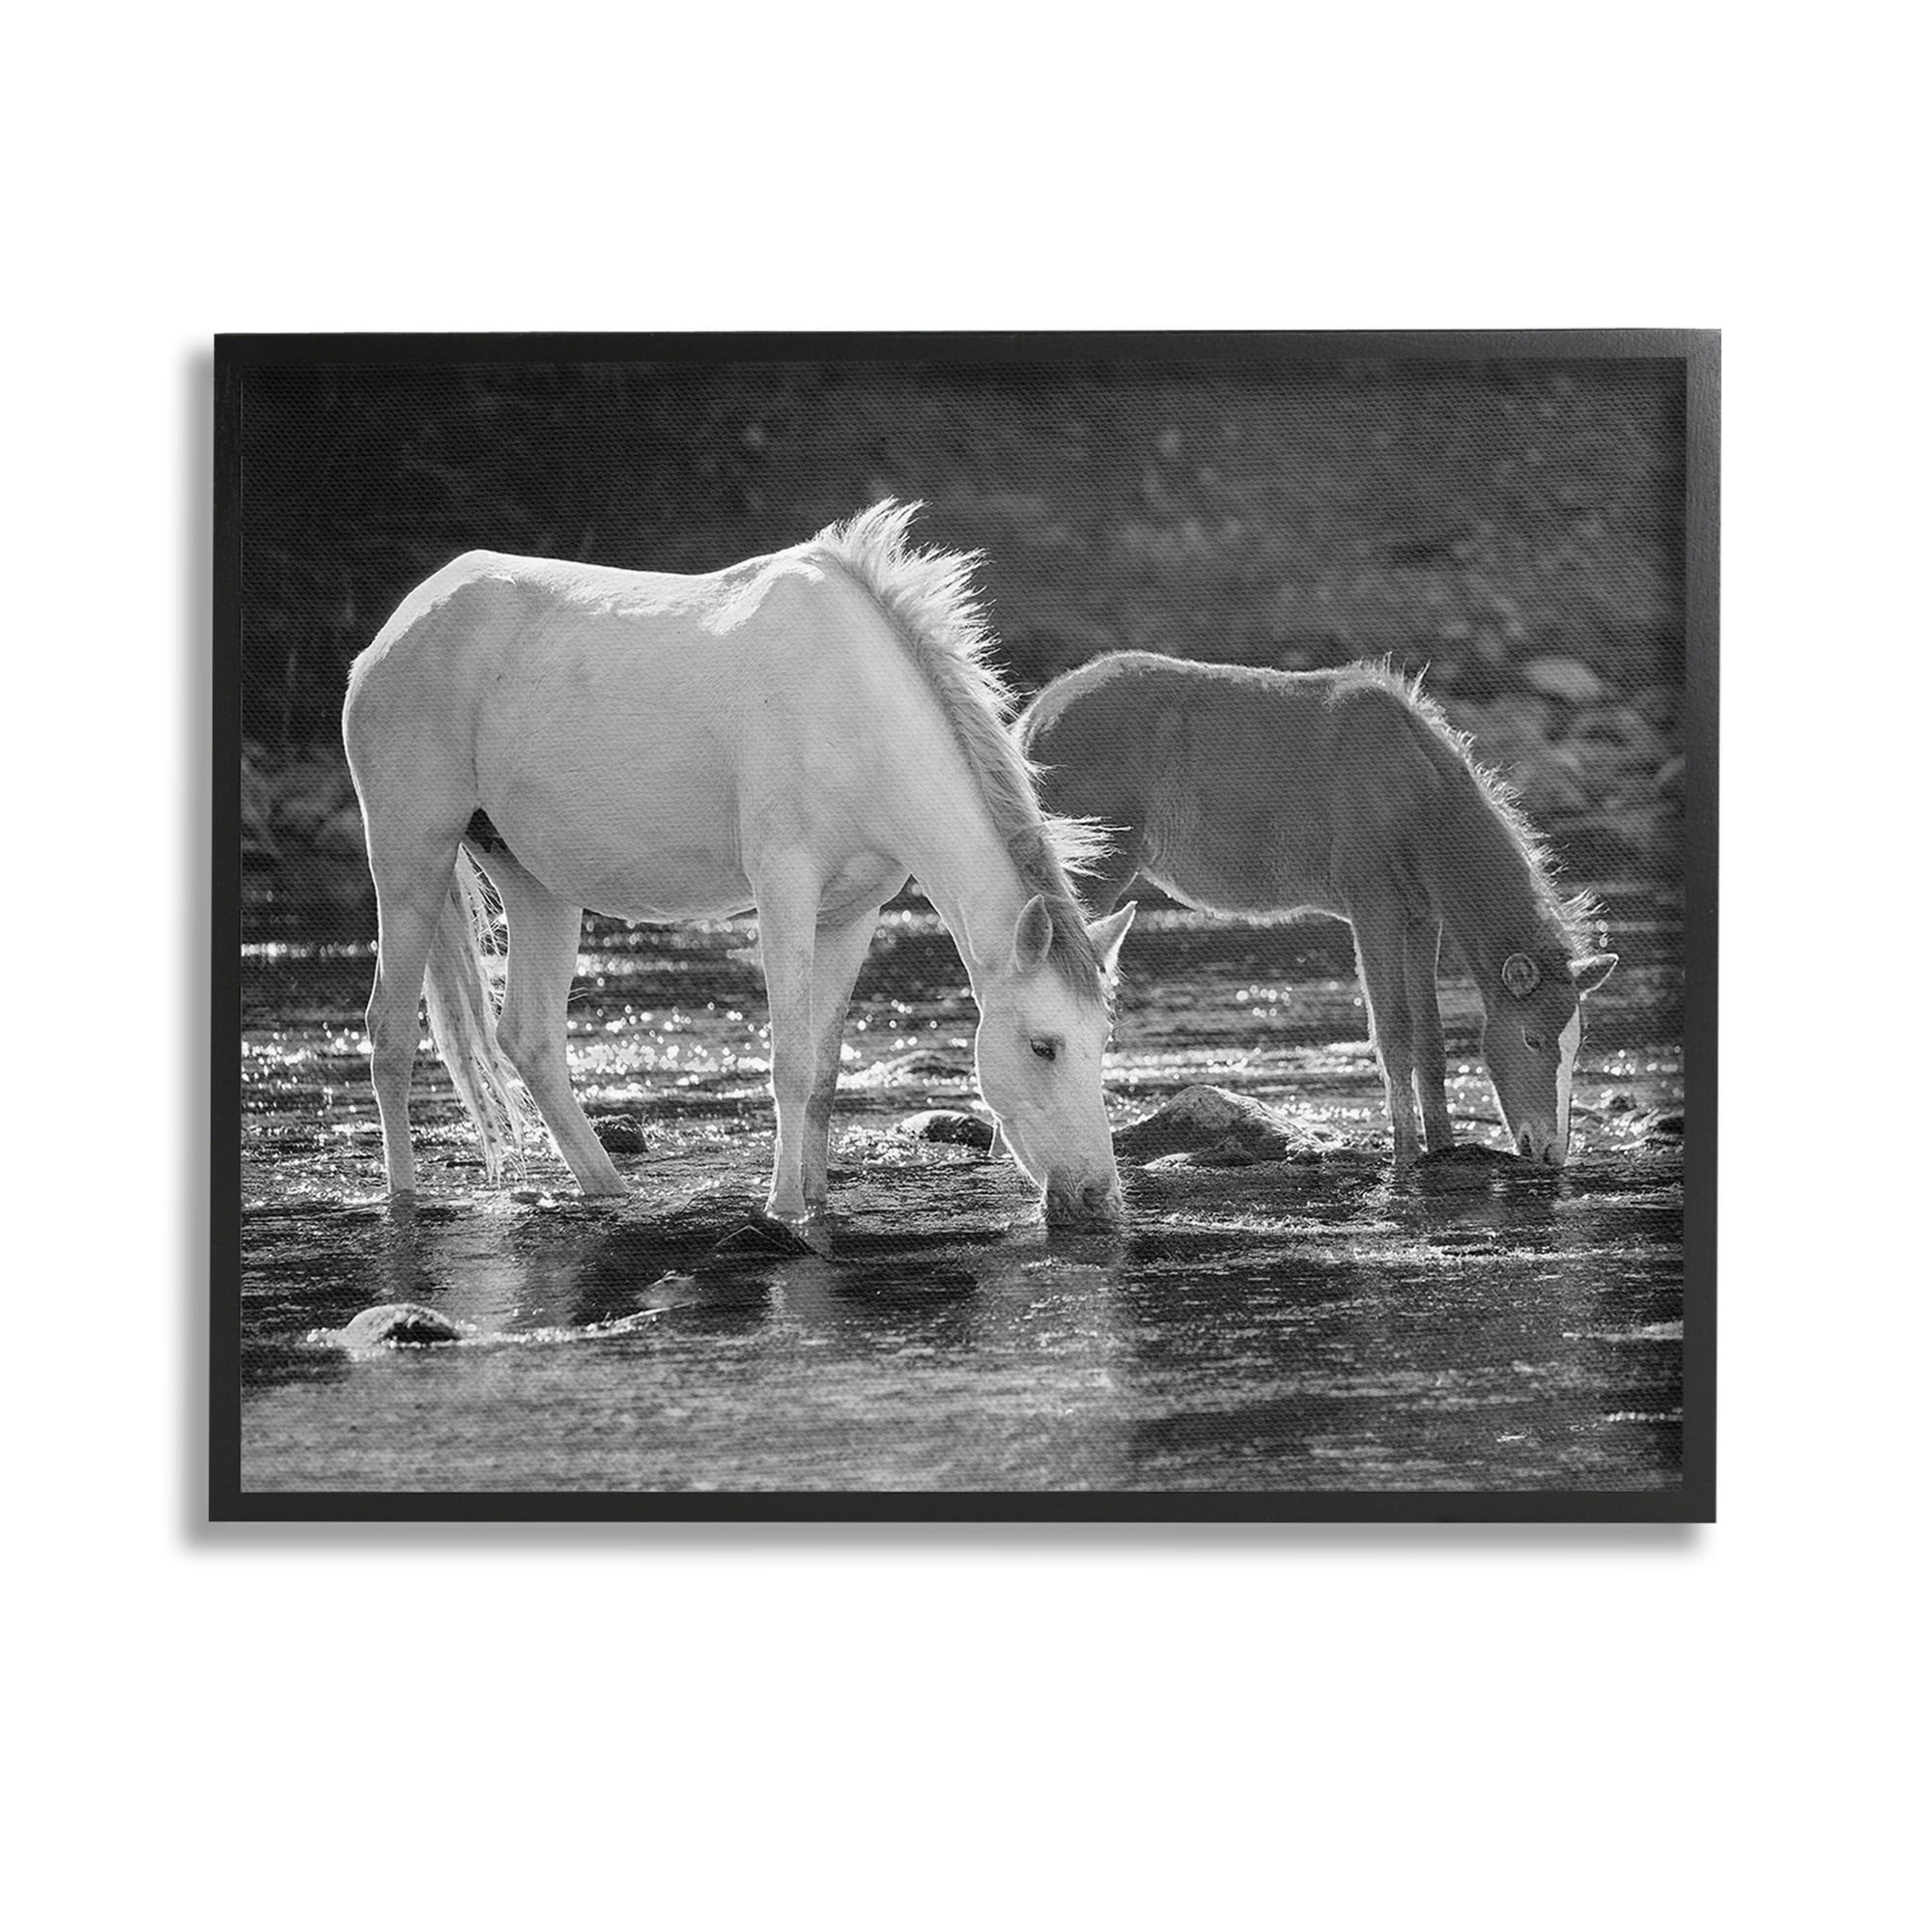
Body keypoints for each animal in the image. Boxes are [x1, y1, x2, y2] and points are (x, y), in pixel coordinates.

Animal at [342, 501, 1136, 1231]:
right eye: (1043, 1047)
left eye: (1104, 1040)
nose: (1097, 1198)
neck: (856, 711)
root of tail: (392, 634)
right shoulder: (784, 888)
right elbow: (789, 1062)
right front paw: (784, 1207)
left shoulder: (851, 914)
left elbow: (824, 1071)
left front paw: (817, 1198)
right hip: (412, 855)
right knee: (391, 1033)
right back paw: (402, 1201)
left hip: (536, 882)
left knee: (529, 1038)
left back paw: (609, 1190)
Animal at [1016, 652, 1617, 1169]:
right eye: (1532, 1039)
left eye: (1577, 1044)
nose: (1550, 1151)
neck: (1416, 792)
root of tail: (1034, 718)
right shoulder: (1374, 907)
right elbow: (1394, 1033)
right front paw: (1405, 1156)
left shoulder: (1423, 920)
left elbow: (1431, 1039)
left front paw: (1444, 1148)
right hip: (1094, 874)